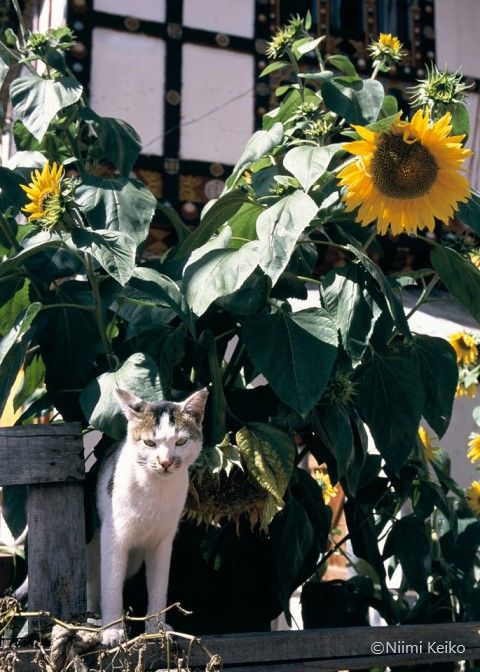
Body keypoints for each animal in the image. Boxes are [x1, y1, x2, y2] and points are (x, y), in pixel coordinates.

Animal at [87, 387, 208, 647]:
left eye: (180, 441)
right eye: (149, 443)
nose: (165, 462)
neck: (155, 490)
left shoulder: (163, 542)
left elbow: (159, 587)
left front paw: (156, 628)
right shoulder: (113, 537)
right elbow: (111, 585)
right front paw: (112, 630)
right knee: (94, 582)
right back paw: (93, 618)